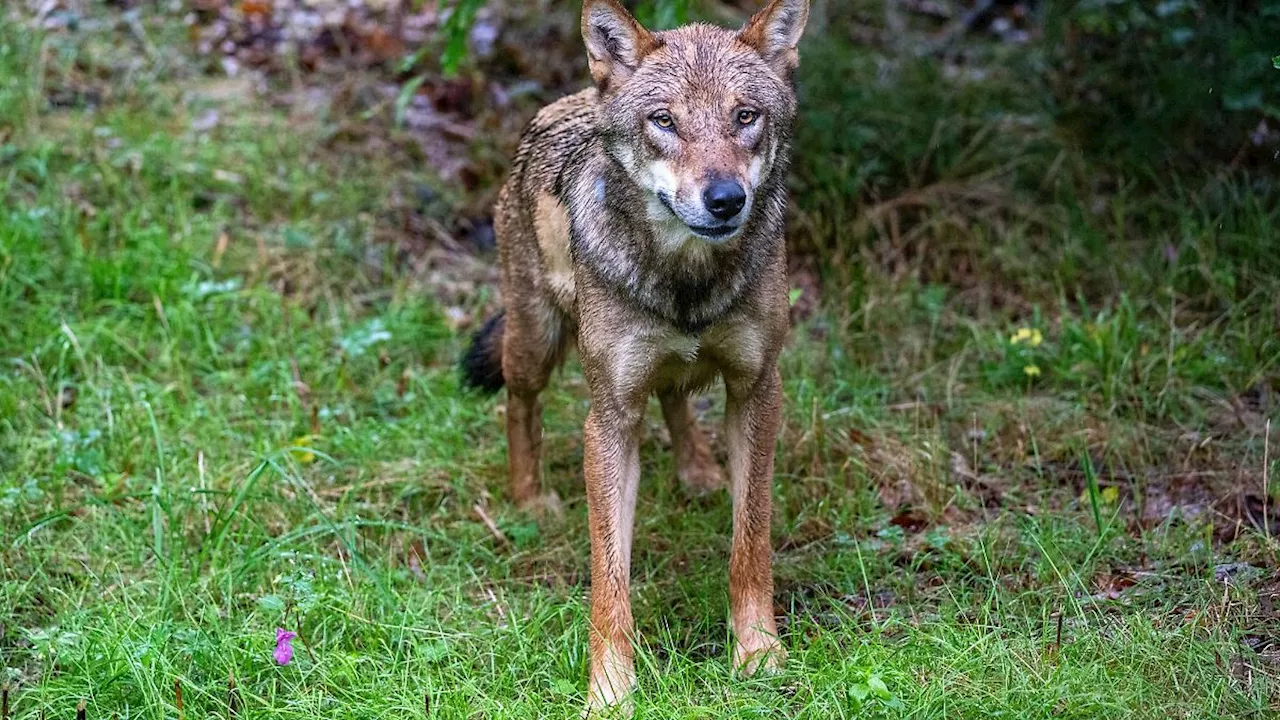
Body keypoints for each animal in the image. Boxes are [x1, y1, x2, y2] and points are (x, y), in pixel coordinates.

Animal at [463, 0, 808, 707]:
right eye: (664, 122)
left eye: (745, 117)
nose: (725, 199)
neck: (687, 282)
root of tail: (570, 100)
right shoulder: (610, 419)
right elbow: (610, 578)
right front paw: (609, 692)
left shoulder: (758, 390)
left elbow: (750, 543)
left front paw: (758, 654)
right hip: (535, 342)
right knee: (519, 403)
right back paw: (530, 501)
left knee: (674, 393)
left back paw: (698, 472)